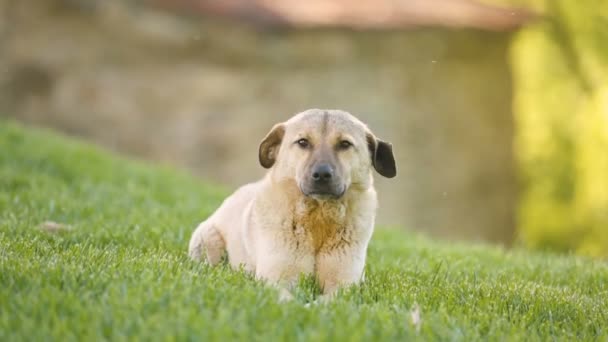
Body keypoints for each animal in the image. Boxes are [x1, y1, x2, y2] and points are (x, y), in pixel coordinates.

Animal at [191, 109, 400, 300]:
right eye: (302, 142)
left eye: (345, 144)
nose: (322, 174)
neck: (319, 219)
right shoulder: (275, 279)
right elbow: (288, 300)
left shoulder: (344, 284)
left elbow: (329, 300)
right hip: (208, 242)